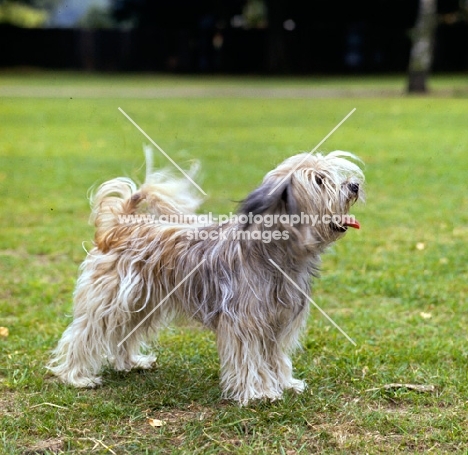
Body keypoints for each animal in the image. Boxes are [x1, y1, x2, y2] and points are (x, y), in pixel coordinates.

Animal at [48, 150, 362, 406]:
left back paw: (130, 363)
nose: (354, 185)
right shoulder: (244, 324)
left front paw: (284, 384)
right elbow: (249, 359)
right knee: (83, 335)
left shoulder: (279, 323)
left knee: (124, 334)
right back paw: (76, 376)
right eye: (319, 180)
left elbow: (276, 358)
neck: (275, 251)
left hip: (142, 303)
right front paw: (258, 393)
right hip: (110, 301)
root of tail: (121, 226)